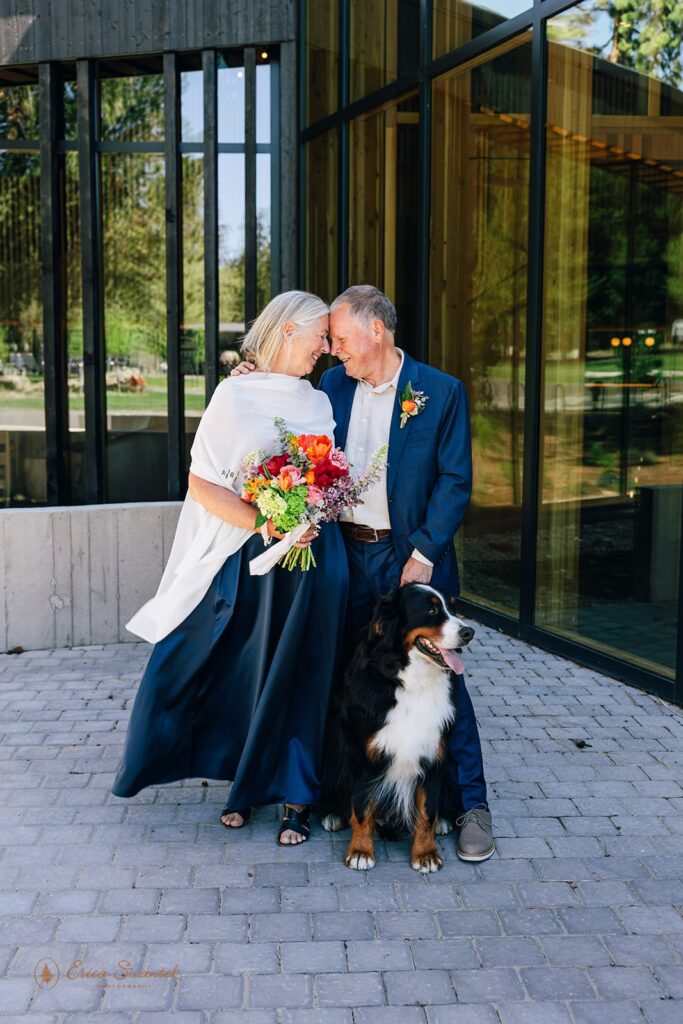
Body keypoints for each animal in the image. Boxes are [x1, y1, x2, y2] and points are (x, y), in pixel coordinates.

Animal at [321, 585, 475, 872]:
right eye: (431, 610)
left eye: (452, 608)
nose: (469, 633)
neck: (414, 682)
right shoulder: (362, 754)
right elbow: (362, 806)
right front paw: (361, 850)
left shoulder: (433, 753)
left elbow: (427, 811)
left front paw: (426, 853)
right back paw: (332, 814)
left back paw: (444, 822)